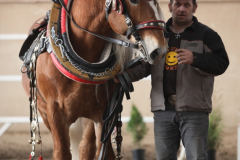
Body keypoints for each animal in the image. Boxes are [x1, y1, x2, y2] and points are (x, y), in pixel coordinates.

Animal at [21, 0, 167, 159]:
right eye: (134, 1)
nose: (160, 50)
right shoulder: (55, 112)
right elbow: (61, 152)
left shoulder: (104, 113)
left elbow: (103, 152)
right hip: (44, 112)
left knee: (86, 146)